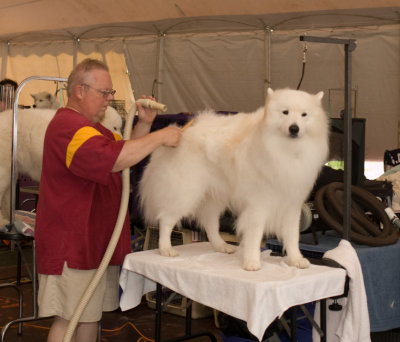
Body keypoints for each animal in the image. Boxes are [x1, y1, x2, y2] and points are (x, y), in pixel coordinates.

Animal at [139, 89, 330, 272]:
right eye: (285, 112)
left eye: (304, 115)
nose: (294, 128)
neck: (286, 149)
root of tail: (182, 131)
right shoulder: (258, 204)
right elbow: (255, 235)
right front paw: (252, 262)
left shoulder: (292, 204)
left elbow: (292, 236)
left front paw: (296, 260)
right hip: (186, 193)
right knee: (166, 219)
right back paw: (165, 248)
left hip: (213, 196)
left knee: (210, 223)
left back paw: (220, 246)